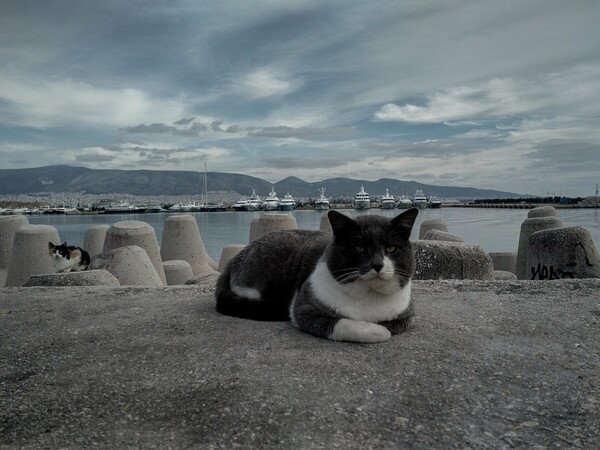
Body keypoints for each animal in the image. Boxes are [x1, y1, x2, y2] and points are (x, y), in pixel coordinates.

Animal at [214, 209, 418, 342]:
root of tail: (237, 255)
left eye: (390, 248)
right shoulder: (305, 309)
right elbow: (345, 324)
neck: (368, 295)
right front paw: (377, 330)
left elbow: (393, 324)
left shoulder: (407, 316)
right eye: (359, 247)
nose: (377, 264)